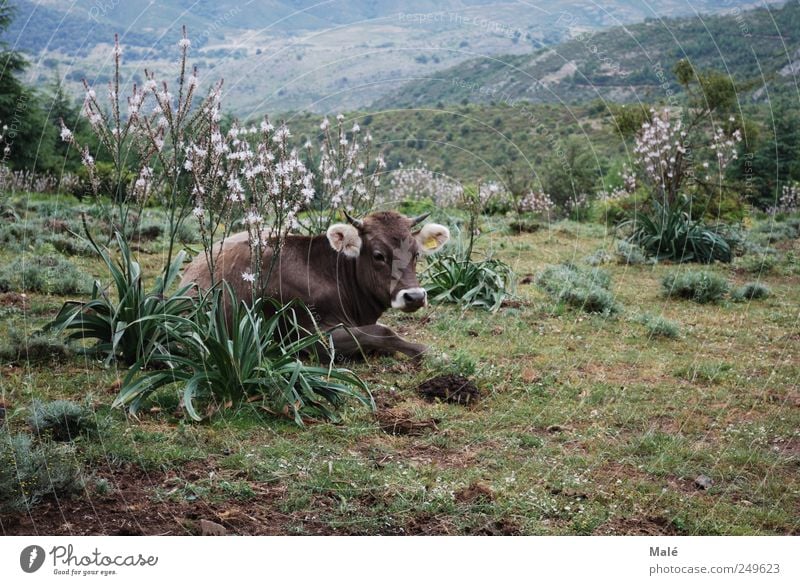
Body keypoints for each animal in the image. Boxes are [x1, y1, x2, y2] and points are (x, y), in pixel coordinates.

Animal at [180, 210, 450, 356]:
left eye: (416, 253)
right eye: (378, 255)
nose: (415, 296)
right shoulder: (309, 334)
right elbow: (383, 332)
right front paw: (428, 352)